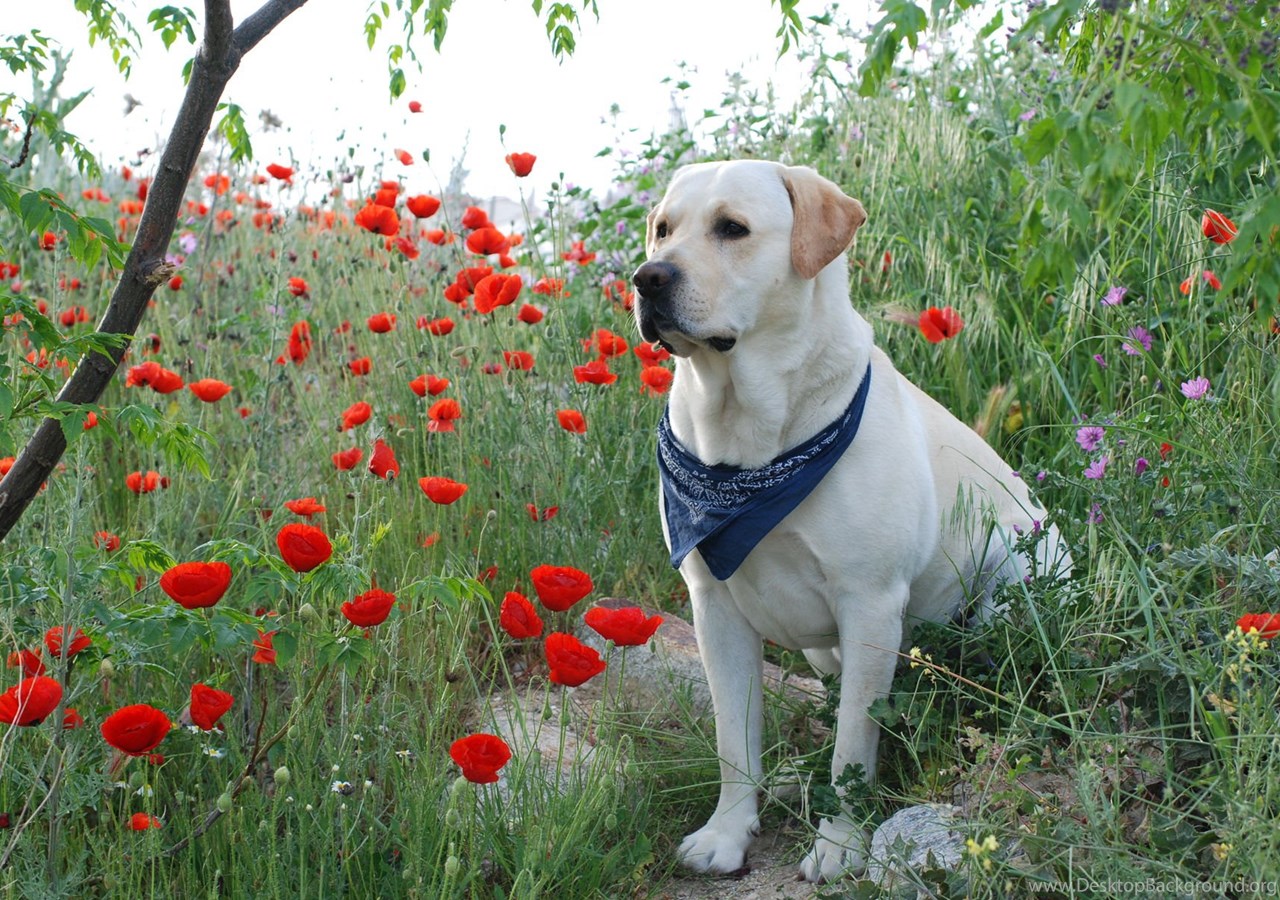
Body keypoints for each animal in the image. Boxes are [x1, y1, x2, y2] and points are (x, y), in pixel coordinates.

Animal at [630, 160, 1068, 882]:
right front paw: (728, 832)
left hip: (1008, 597)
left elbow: (853, 748)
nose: (647, 278)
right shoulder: (713, 605)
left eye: (732, 228)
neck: (750, 443)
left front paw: (840, 844)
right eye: (664, 229)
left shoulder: (869, 603)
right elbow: (733, 738)